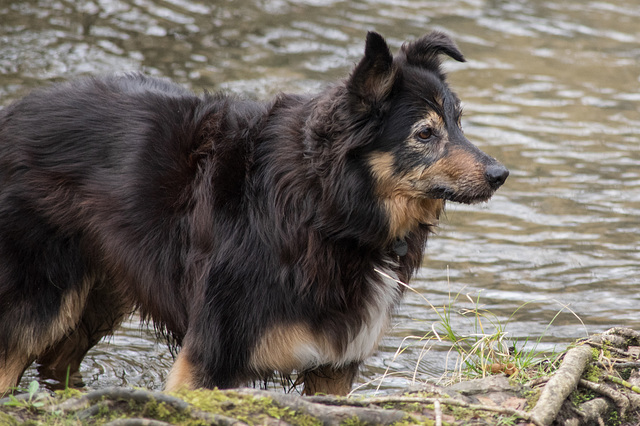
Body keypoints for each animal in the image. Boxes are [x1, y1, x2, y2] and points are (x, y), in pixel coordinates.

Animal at [1, 31, 510, 394]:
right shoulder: (213, 353)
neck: (326, 209)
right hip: (38, 301)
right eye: (425, 133)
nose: (500, 174)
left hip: (103, 291)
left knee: (57, 363)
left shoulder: (334, 365)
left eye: (458, 123)